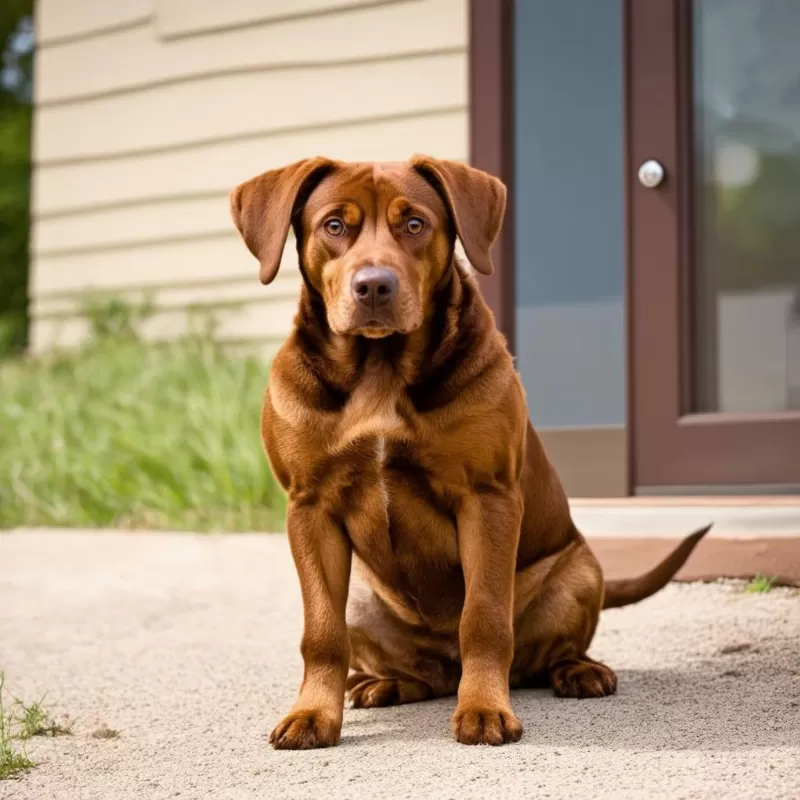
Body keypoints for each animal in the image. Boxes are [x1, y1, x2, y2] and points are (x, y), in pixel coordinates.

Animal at [228, 155, 708, 752]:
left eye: (415, 224)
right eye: (334, 226)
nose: (374, 286)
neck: (379, 370)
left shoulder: (487, 497)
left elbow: (483, 617)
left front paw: (483, 707)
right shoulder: (309, 506)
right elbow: (321, 631)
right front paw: (313, 712)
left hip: (579, 572)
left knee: (542, 655)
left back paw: (579, 671)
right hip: (363, 597)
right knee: (420, 674)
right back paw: (382, 683)